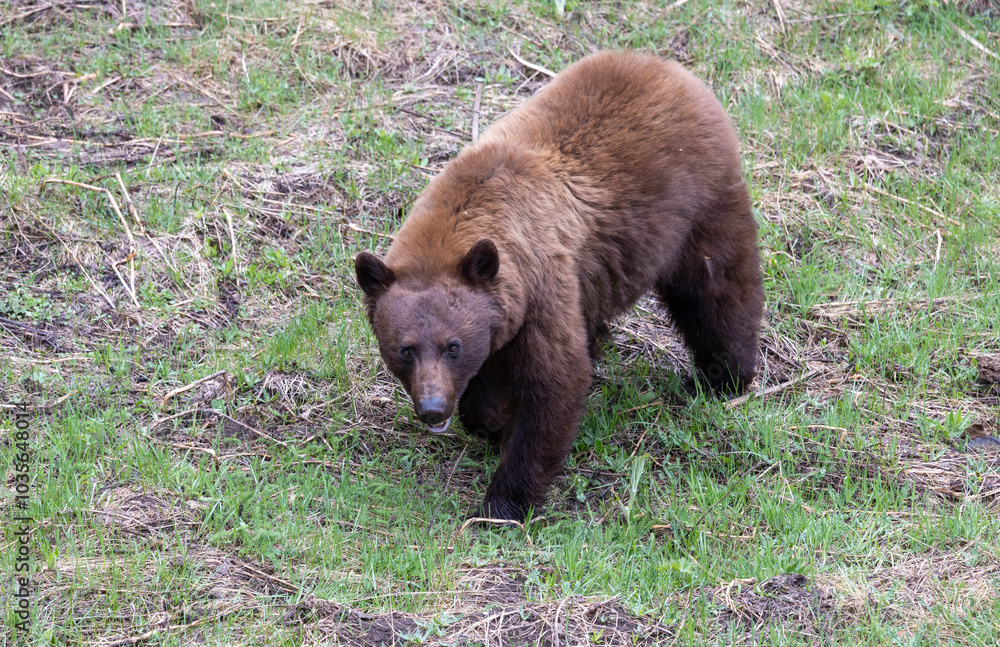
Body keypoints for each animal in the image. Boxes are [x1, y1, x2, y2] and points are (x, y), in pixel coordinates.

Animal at [355, 51, 764, 521]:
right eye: (404, 350)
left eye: (451, 346)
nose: (433, 408)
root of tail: (666, 66)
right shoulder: (505, 305)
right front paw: (489, 419)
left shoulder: (540, 287)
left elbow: (554, 382)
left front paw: (504, 502)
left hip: (699, 202)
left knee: (717, 286)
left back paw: (724, 376)